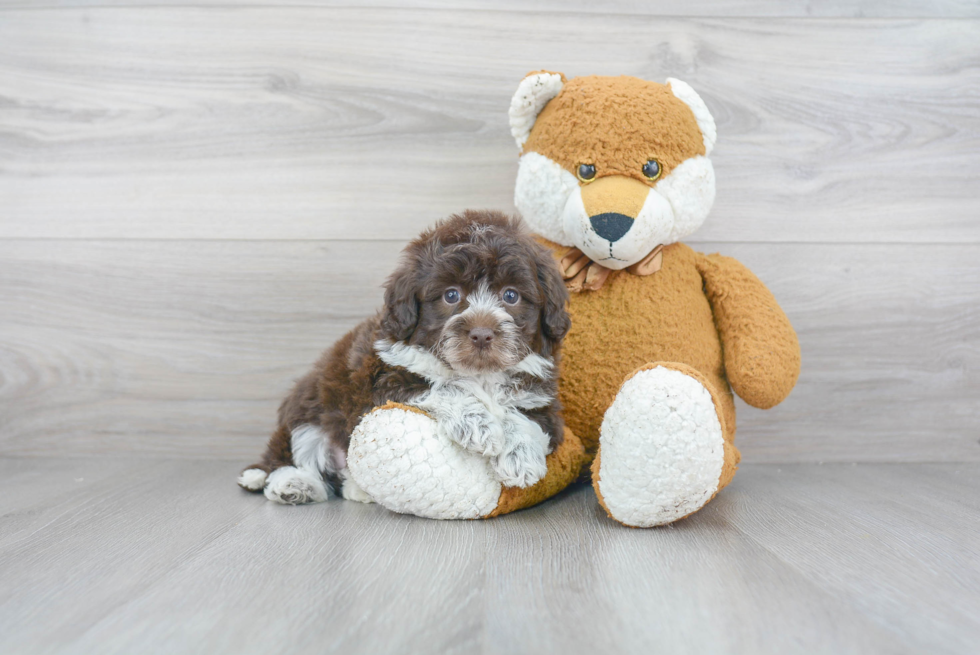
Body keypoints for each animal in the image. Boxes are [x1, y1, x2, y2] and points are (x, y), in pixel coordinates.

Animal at [237, 211, 572, 508]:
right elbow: (445, 387)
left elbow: (525, 418)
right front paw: (479, 424)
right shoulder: (384, 381)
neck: (480, 373)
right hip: (308, 411)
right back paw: (293, 484)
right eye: (451, 295)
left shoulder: (542, 400)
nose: (481, 334)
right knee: (292, 456)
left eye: (511, 295)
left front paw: (521, 457)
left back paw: (355, 490)